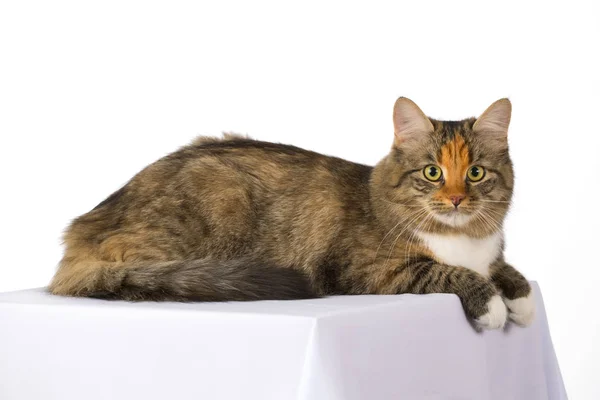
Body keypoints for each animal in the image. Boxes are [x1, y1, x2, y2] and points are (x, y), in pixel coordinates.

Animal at [48, 97, 536, 328]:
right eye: (433, 173)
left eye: (475, 173)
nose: (455, 199)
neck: (463, 238)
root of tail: (81, 228)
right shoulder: (372, 270)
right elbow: (449, 273)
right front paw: (493, 306)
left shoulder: (492, 254)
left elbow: (508, 270)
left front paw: (522, 301)